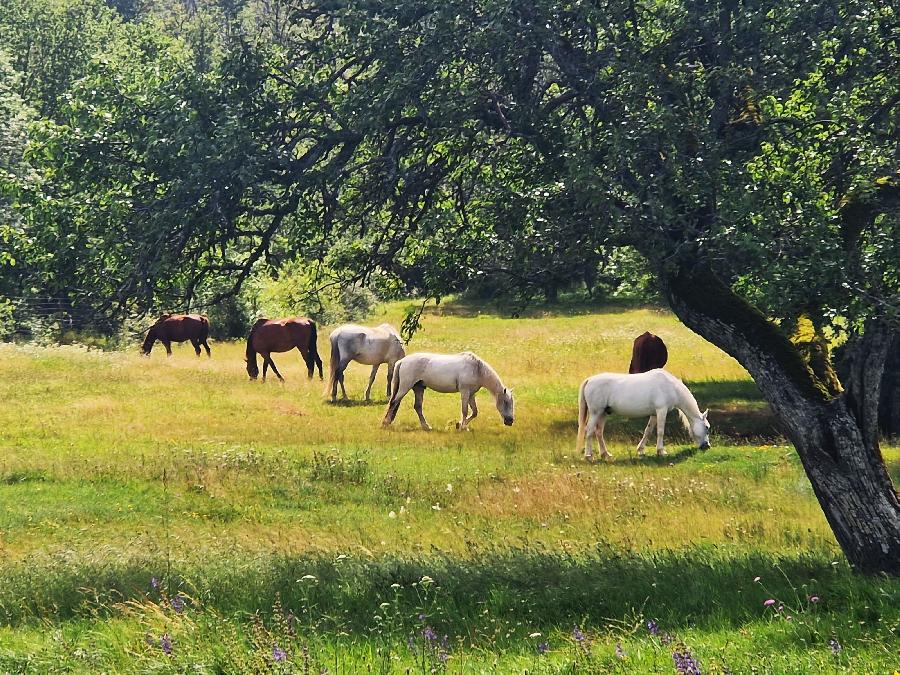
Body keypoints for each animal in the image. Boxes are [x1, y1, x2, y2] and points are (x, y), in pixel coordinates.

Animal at [384, 352, 516, 430]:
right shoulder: (465, 392)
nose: (510, 421)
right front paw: (462, 427)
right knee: (394, 402)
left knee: (417, 407)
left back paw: (426, 426)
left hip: (419, 388)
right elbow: (464, 410)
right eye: (506, 402)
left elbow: (474, 412)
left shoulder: (471, 394)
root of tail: (402, 361)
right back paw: (385, 423)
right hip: (405, 387)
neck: (477, 369)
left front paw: (461, 425)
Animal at [576, 370, 712, 460]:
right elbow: (660, 431)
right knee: (590, 431)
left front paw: (641, 450)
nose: (707, 446)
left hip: (603, 413)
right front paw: (661, 451)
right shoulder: (661, 411)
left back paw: (605, 454)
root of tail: (589, 380)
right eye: (707, 427)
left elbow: (648, 431)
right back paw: (588, 455)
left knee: (599, 432)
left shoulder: (654, 414)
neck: (671, 387)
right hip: (596, 412)